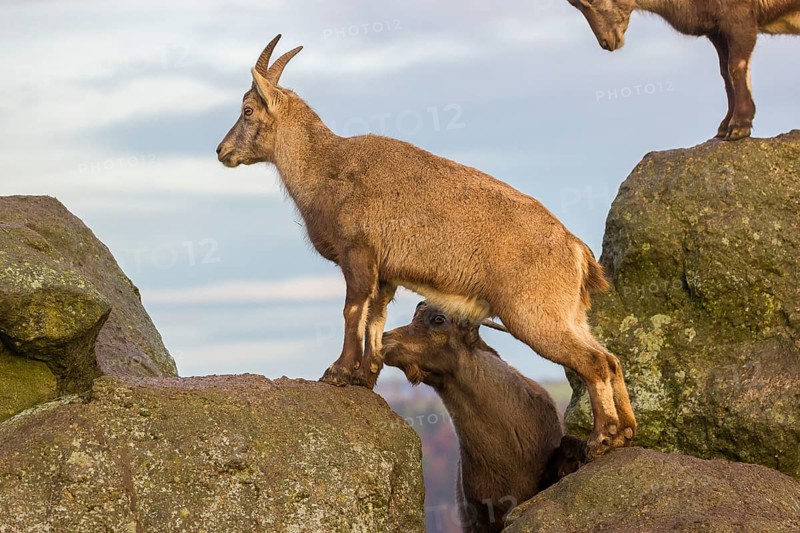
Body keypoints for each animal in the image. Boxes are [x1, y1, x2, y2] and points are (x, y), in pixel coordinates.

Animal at [216, 35, 636, 458]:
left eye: (247, 110)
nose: (221, 151)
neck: (325, 168)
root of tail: (576, 251)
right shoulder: (385, 272)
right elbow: (376, 317)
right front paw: (365, 376)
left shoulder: (359, 253)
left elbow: (353, 310)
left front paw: (337, 372)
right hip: (570, 315)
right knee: (611, 359)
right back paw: (625, 432)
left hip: (534, 315)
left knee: (595, 362)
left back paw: (602, 438)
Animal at [567, 0, 800, 140]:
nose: (606, 43)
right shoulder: (716, 30)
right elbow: (725, 74)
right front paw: (724, 126)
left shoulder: (739, 17)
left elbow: (736, 66)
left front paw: (739, 126)